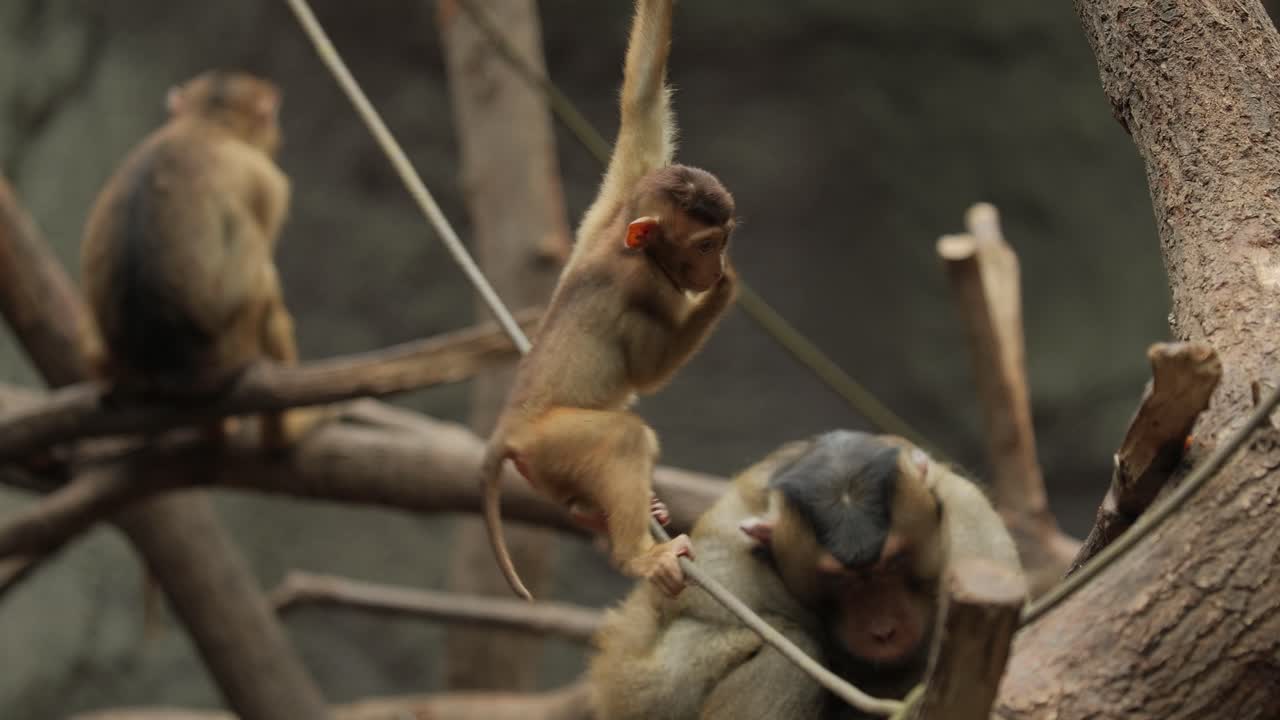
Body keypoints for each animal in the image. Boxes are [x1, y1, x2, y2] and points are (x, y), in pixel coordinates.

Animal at [80, 70, 324, 448]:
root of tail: (160, 368)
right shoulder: (268, 181)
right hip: (231, 352)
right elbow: (264, 283)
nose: (278, 135)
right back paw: (279, 433)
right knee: (262, 287)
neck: (206, 124)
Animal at [480, 0, 738, 601]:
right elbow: (648, 373)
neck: (626, 241)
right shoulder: (648, 287)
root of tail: (506, 432)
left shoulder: (618, 199)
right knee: (622, 437)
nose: (715, 267)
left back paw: (599, 515)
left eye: (722, 239)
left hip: (545, 466)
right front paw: (726, 290)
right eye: (706, 245)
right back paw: (635, 555)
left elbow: (640, 101)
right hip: (551, 442)